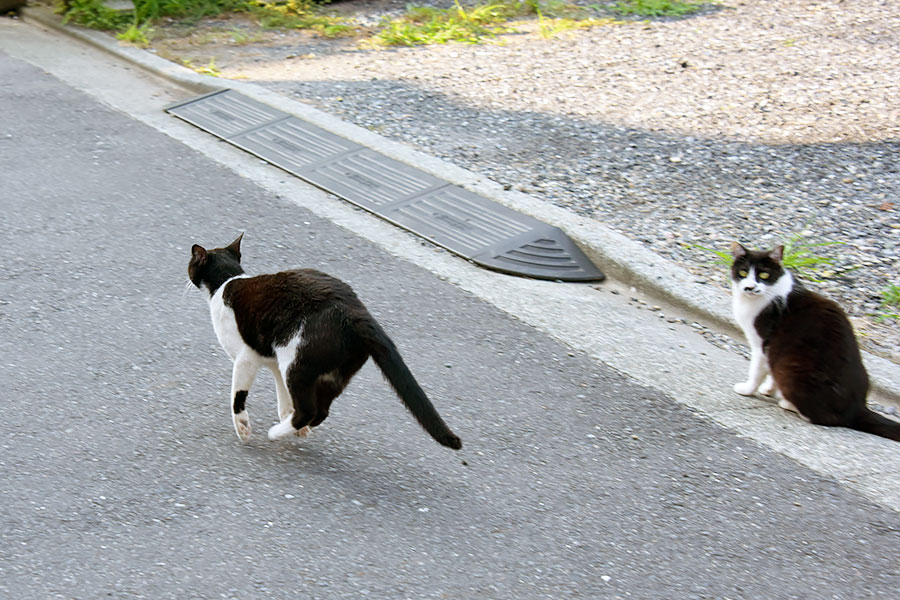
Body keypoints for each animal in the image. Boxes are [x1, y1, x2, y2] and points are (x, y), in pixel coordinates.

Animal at [185, 234, 460, 450]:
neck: (225, 282)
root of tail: (355, 313)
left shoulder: (247, 358)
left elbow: (238, 397)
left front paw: (243, 428)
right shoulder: (274, 361)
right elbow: (283, 397)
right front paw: (286, 416)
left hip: (298, 363)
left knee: (309, 410)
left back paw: (276, 433)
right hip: (332, 370)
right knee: (319, 410)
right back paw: (295, 428)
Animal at [732, 241, 900, 442]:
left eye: (764, 275)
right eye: (743, 273)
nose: (749, 287)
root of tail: (857, 408)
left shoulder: (762, 344)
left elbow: (756, 371)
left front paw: (747, 389)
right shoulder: (772, 352)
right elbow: (771, 373)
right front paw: (768, 389)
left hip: (792, 369)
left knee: (825, 418)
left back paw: (788, 403)